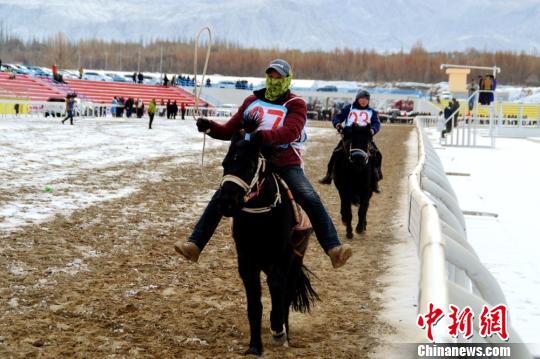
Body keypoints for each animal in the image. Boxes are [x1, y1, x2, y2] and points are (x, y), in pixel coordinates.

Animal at [217, 134, 318, 356]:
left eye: (249, 165)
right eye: (225, 164)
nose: (225, 201)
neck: (260, 218)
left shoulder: (281, 260)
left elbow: (278, 293)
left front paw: (278, 330)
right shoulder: (247, 263)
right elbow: (254, 306)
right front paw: (255, 346)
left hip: (295, 262)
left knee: (286, 295)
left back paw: (284, 333)